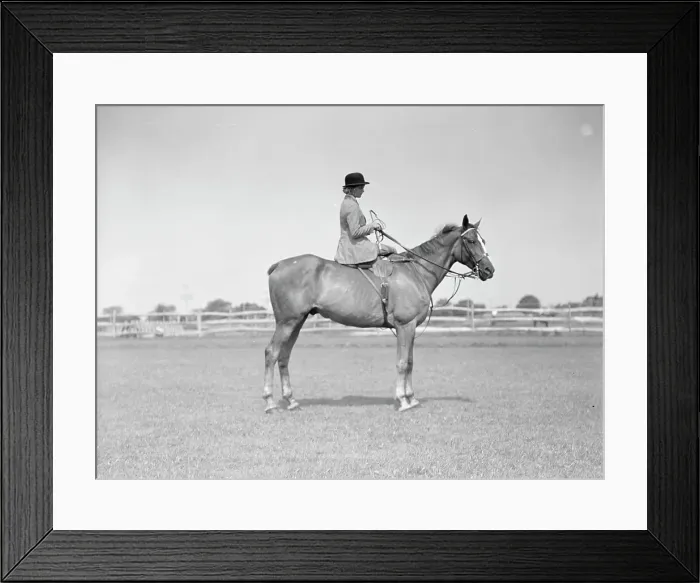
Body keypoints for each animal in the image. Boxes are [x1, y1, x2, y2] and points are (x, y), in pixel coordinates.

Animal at [262, 213, 495, 413]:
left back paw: (291, 400)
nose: (489, 270)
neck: (415, 271)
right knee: (272, 353)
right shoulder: (405, 326)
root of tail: (279, 265)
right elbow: (402, 363)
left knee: (284, 356)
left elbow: (410, 362)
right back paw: (270, 402)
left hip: (297, 322)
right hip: (287, 322)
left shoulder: (410, 329)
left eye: (483, 240)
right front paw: (403, 400)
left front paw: (411, 398)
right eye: (471, 241)